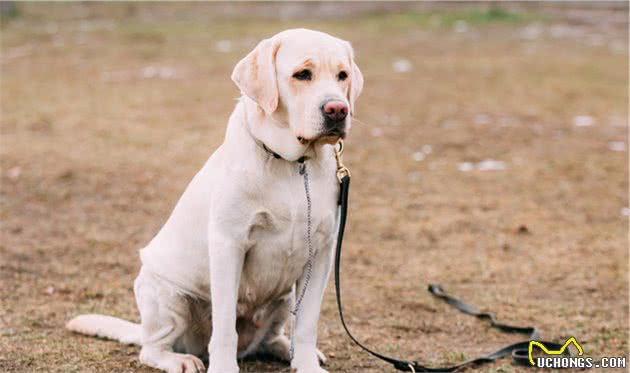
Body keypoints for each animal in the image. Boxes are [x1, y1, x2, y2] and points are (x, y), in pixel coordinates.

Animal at [66, 29, 362, 372]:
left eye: (342, 76)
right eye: (302, 74)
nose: (338, 109)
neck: (291, 163)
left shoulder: (322, 252)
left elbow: (306, 324)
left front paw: (307, 364)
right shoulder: (228, 244)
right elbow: (224, 326)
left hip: (285, 296)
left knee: (273, 334)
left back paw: (282, 348)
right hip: (167, 295)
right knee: (151, 348)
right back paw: (179, 359)